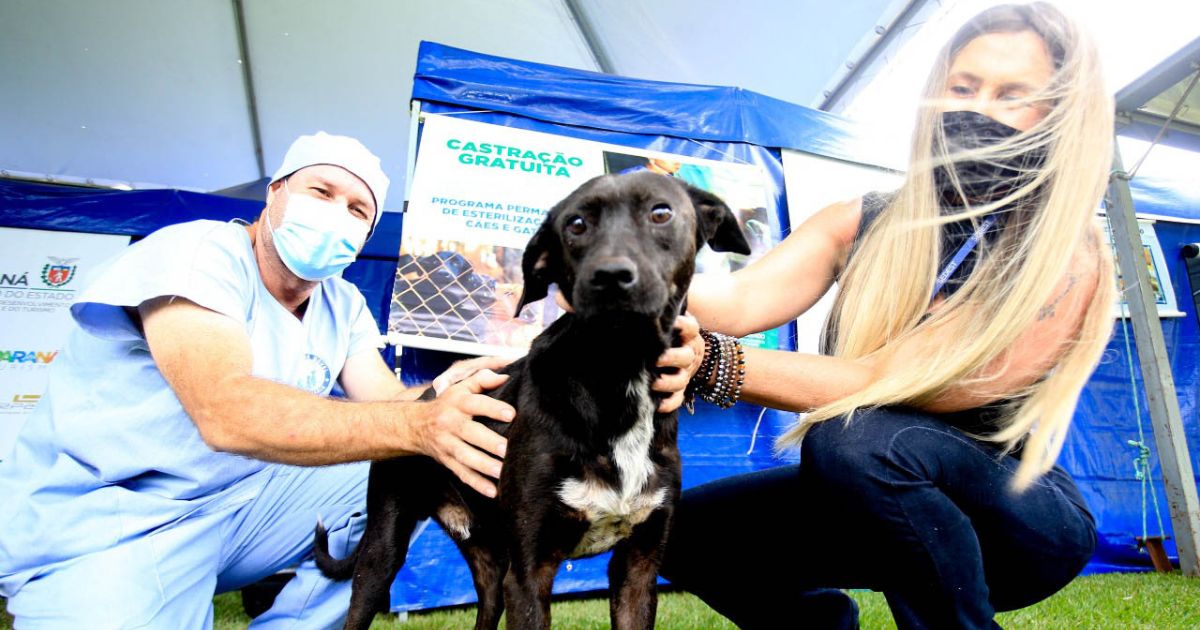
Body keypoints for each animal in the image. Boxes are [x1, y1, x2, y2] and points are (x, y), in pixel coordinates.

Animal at [314, 169, 744, 624]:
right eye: (576, 224)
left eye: (661, 213)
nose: (610, 276)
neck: (618, 376)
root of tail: (419, 403)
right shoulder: (529, 573)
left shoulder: (639, 569)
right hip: (382, 553)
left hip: (490, 564)